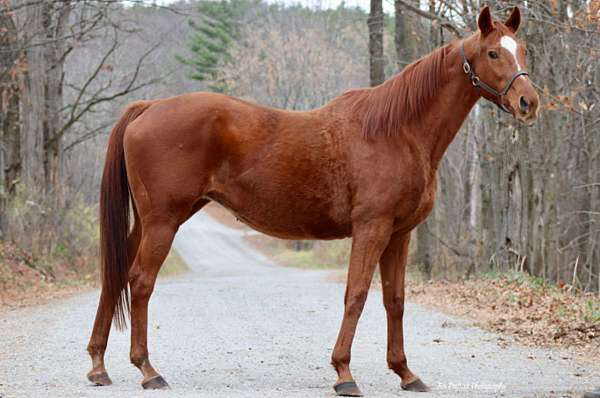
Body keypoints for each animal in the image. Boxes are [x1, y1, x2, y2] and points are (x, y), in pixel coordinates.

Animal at [88, 5, 540, 394]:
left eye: (522, 50)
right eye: (493, 52)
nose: (528, 102)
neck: (397, 130)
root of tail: (149, 106)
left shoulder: (400, 235)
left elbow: (394, 300)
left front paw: (405, 373)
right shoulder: (371, 229)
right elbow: (356, 295)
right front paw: (344, 373)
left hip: (147, 222)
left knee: (115, 275)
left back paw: (98, 365)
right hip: (163, 221)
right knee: (140, 281)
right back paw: (148, 370)